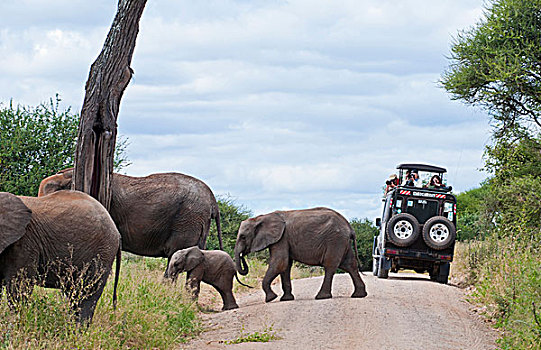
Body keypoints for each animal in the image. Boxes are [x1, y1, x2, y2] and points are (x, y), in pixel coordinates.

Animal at [0, 190, 121, 324]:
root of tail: (117, 233)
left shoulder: (24, 243)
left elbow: (18, 288)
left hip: (103, 253)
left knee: (86, 295)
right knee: (75, 295)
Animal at [233, 206, 368, 302]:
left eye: (243, 237)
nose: (243, 255)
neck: (261, 217)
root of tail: (350, 227)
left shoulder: (281, 238)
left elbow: (280, 263)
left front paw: (271, 298)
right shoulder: (283, 239)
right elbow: (285, 266)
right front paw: (286, 299)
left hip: (335, 240)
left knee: (330, 265)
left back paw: (321, 297)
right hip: (342, 241)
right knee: (350, 265)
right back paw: (359, 295)